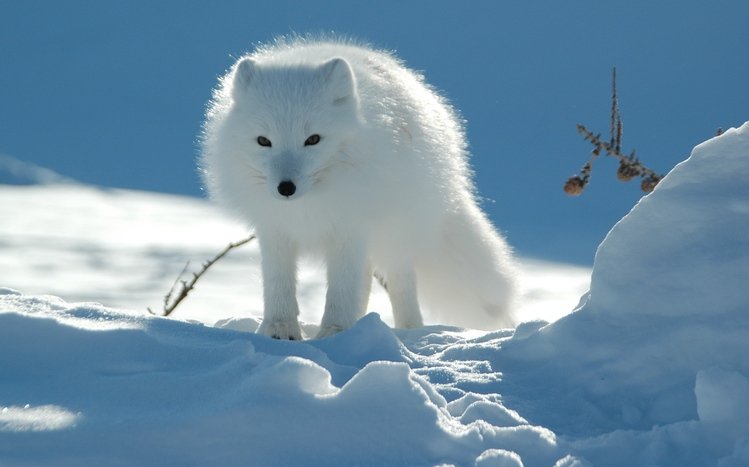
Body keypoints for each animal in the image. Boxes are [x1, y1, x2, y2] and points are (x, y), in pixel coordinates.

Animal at [200, 38, 518, 339]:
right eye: (263, 141)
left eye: (313, 139)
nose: (285, 188)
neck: (308, 205)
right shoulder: (275, 229)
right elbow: (279, 285)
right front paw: (279, 330)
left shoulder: (349, 227)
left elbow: (341, 290)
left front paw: (334, 332)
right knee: (364, 281)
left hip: (395, 233)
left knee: (400, 282)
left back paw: (408, 330)